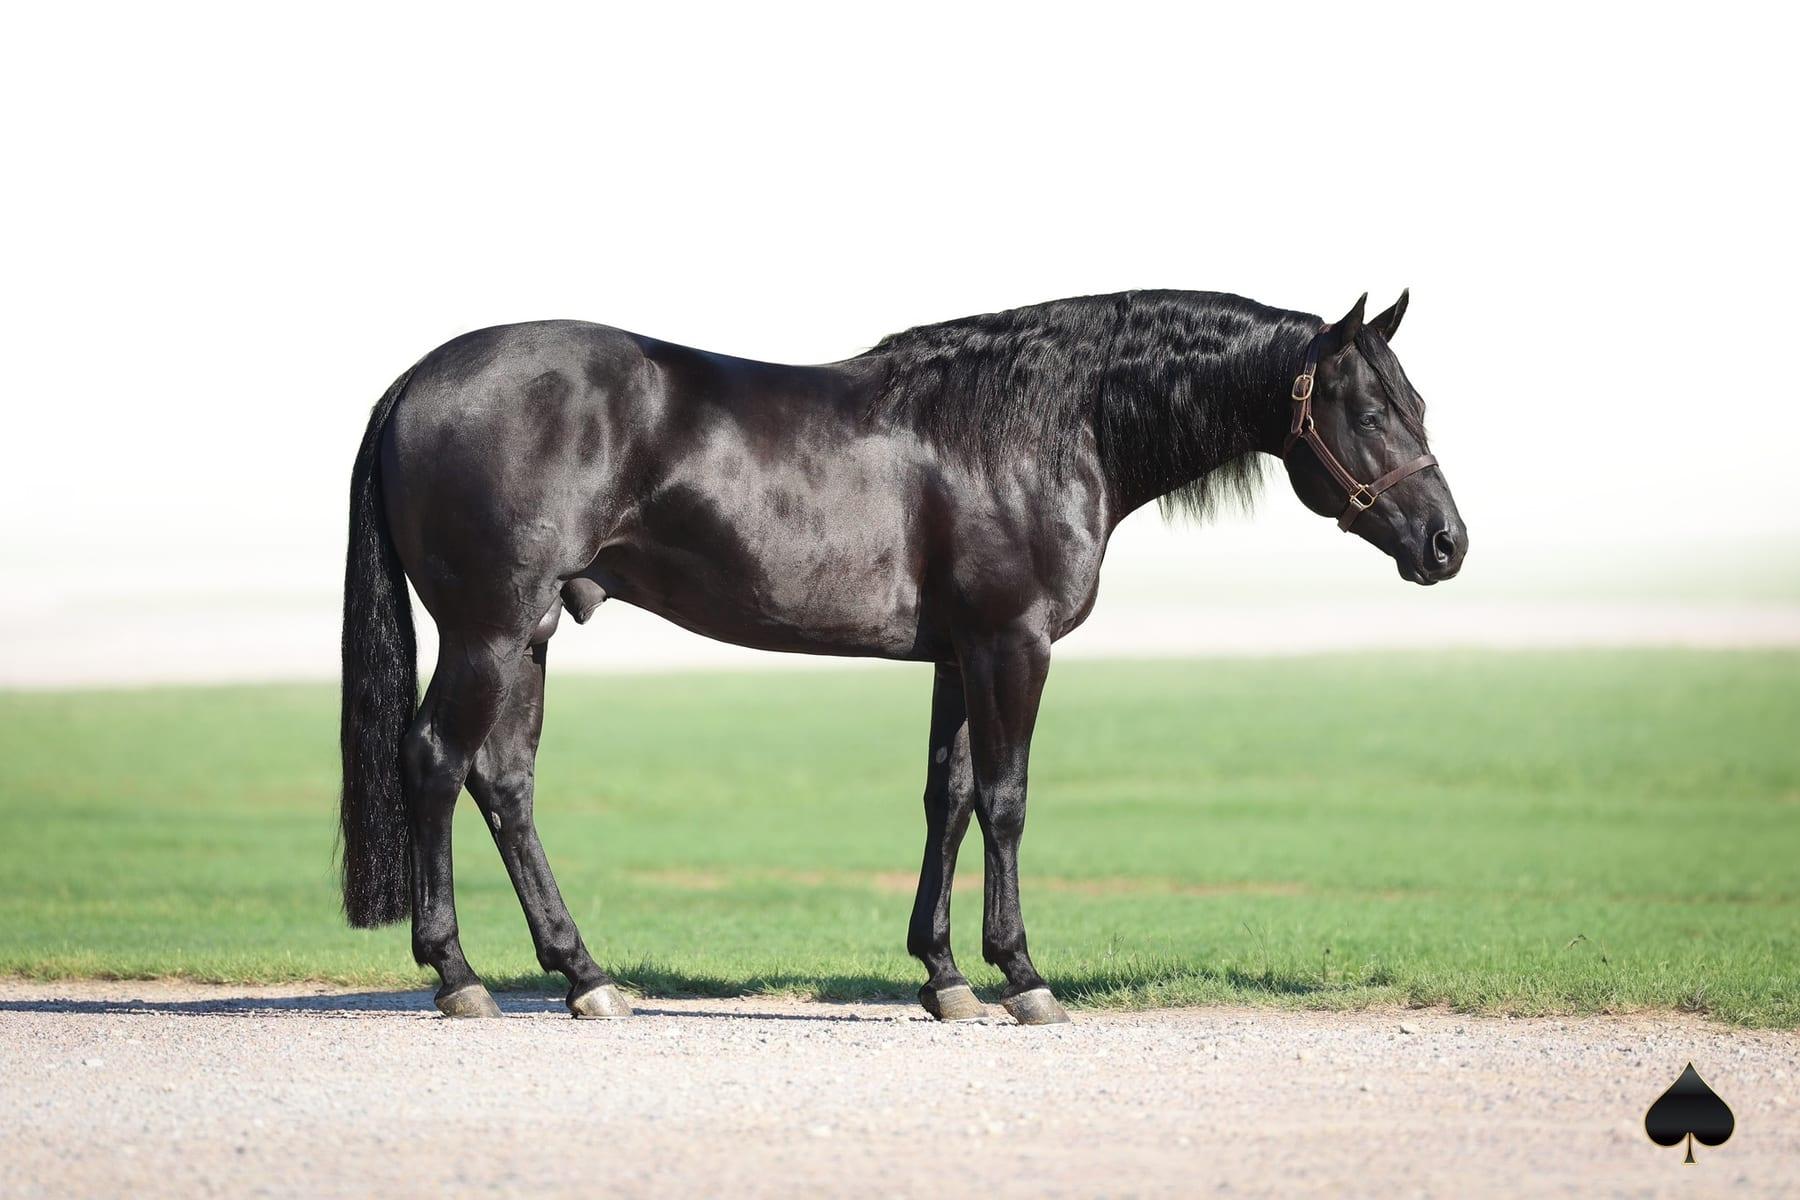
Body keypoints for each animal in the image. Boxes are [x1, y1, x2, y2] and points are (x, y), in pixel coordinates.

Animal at [338, 289, 1466, 1023]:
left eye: (1417, 404)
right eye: (1370, 410)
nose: (1447, 543)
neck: (1039, 429)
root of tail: (416, 382)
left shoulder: (958, 658)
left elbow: (949, 797)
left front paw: (945, 979)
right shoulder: (1012, 644)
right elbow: (1006, 801)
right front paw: (1023, 978)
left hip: (528, 635)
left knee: (504, 782)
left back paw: (587, 978)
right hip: (489, 628)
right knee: (435, 760)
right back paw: (459, 977)